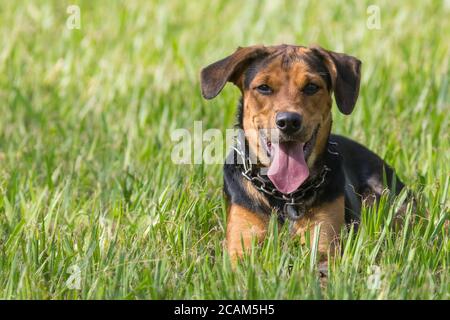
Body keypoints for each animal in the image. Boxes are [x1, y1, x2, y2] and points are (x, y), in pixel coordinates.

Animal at [200, 44, 404, 264]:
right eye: (264, 87)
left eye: (311, 87)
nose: (288, 121)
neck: (284, 195)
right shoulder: (241, 242)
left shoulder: (324, 242)